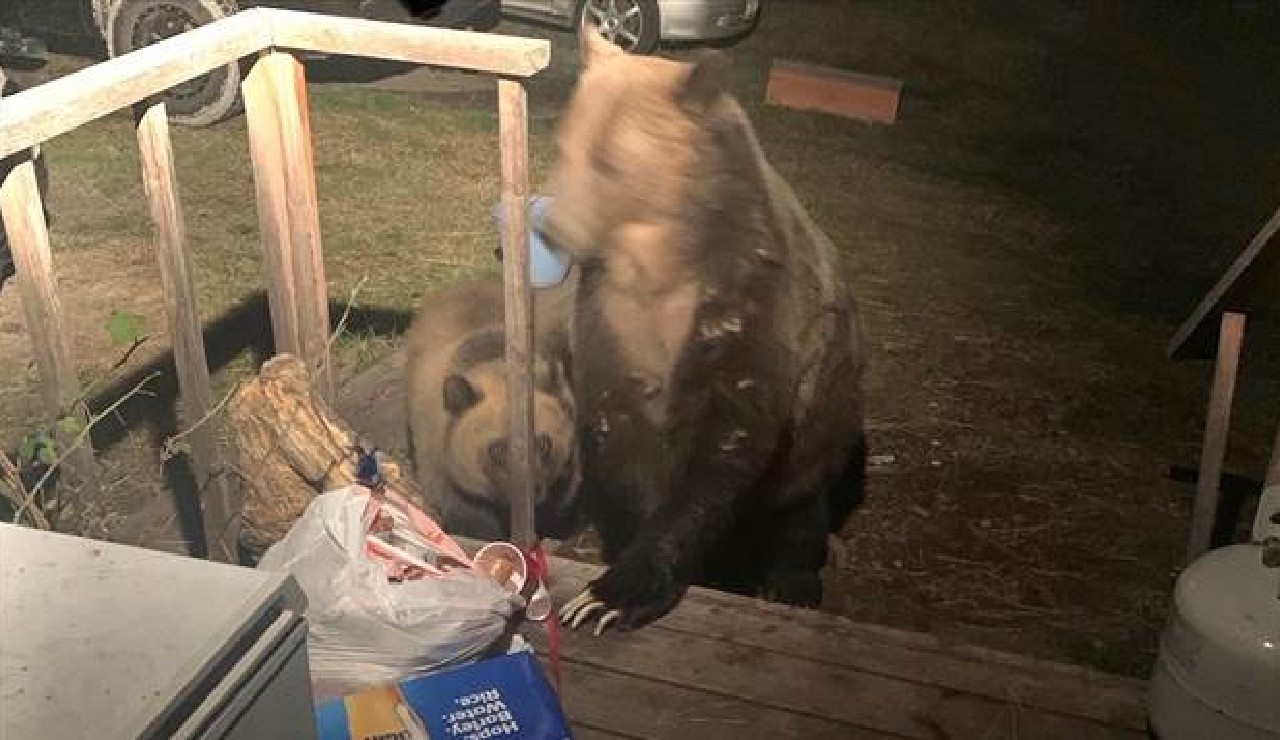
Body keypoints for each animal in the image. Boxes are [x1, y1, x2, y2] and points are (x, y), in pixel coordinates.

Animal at [542, 25, 869, 633]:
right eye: (563, 146)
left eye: (609, 161)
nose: (551, 231)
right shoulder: (613, 319)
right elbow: (617, 429)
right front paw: (609, 560)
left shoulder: (747, 296)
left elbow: (730, 434)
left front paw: (612, 594)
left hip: (831, 407)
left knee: (801, 503)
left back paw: (794, 581)